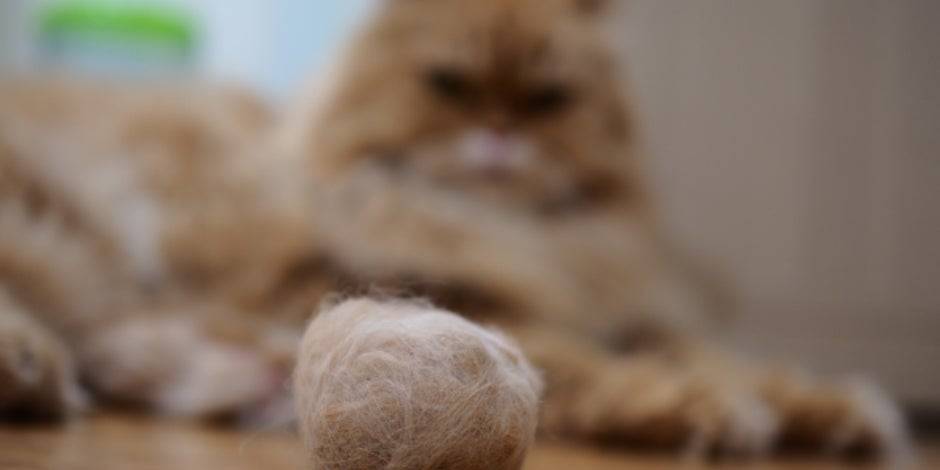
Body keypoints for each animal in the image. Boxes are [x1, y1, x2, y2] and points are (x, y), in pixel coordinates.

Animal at [1, 0, 912, 458]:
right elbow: (596, 366)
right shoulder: (390, 285)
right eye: (448, 84)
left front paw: (833, 409)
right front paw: (707, 409)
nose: (501, 133)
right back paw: (34, 370)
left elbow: (725, 356)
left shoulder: (624, 310)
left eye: (549, 99)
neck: (516, 234)